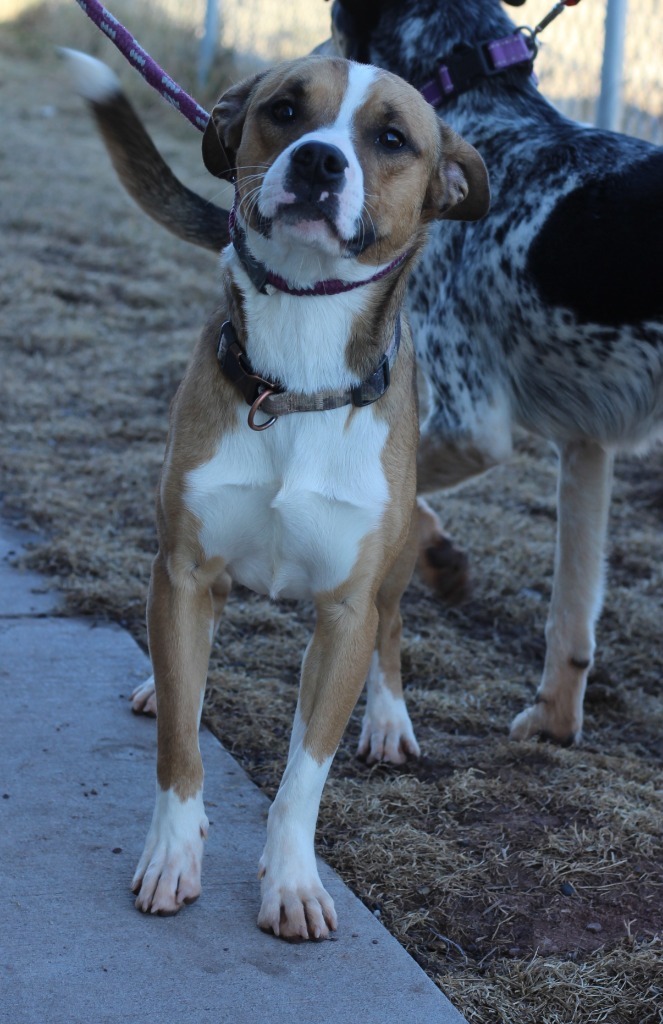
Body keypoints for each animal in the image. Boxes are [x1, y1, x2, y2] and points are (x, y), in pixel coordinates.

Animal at [66, 51, 487, 937]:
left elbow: (304, 775)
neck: (294, 376)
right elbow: (180, 747)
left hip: (393, 562)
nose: (320, 162)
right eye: (285, 110)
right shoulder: (183, 572)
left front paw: (291, 883)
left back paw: (388, 719)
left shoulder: (343, 610)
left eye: (391, 138)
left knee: (390, 627)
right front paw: (173, 854)